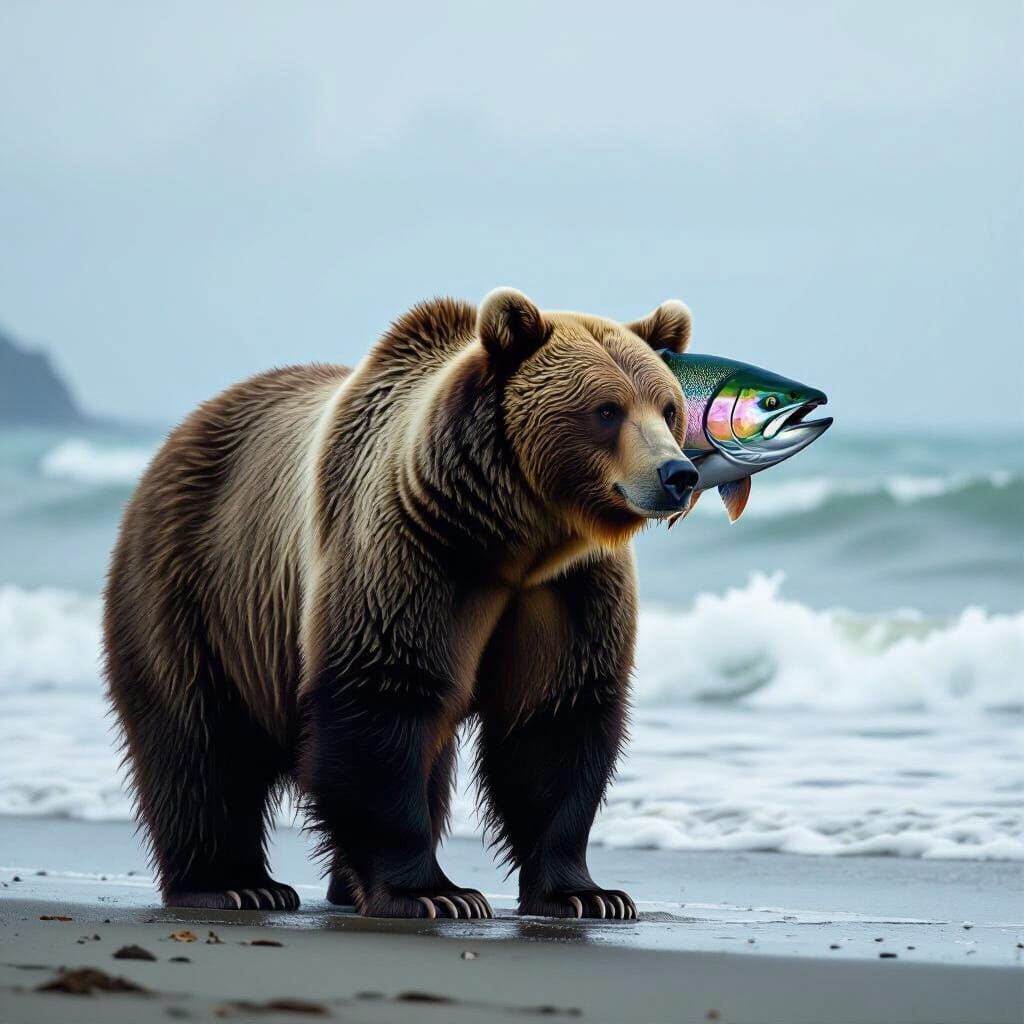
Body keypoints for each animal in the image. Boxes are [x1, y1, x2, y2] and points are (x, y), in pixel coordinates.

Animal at [104, 288, 698, 919]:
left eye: (666, 407)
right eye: (607, 410)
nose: (678, 473)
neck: (515, 539)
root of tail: (185, 430)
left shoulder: (568, 589)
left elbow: (555, 721)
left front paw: (588, 894)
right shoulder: (413, 549)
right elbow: (383, 696)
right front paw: (435, 893)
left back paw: (337, 889)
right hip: (196, 586)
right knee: (201, 741)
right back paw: (236, 884)